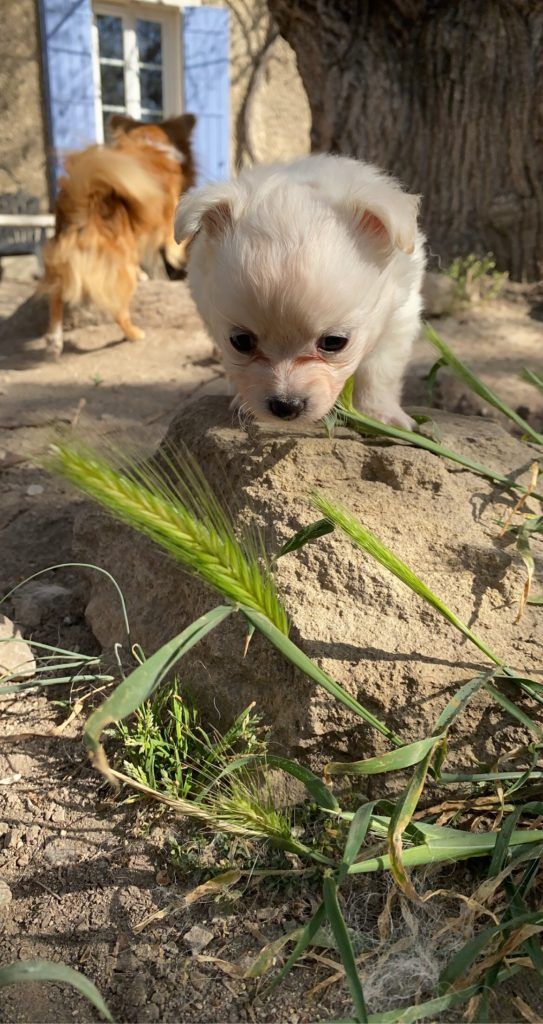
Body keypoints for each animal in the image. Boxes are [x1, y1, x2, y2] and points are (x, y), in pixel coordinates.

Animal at [40, 112, 196, 358]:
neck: (148, 142)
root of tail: (83, 202)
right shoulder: (168, 217)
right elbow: (173, 245)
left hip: (61, 258)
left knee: (56, 294)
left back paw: (54, 341)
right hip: (120, 266)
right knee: (117, 309)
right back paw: (134, 334)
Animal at [175, 152, 424, 428]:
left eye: (334, 342)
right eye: (241, 342)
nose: (285, 406)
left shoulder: (398, 317)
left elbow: (378, 371)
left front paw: (379, 414)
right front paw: (242, 400)